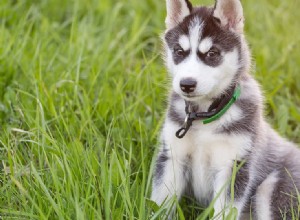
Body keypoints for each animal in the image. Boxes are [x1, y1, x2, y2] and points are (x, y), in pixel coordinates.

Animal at [151, 0, 300, 220]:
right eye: (179, 51)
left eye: (212, 53)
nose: (187, 84)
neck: (205, 116)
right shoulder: (172, 156)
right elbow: (160, 204)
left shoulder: (234, 165)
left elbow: (224, 211)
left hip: (275, 186)